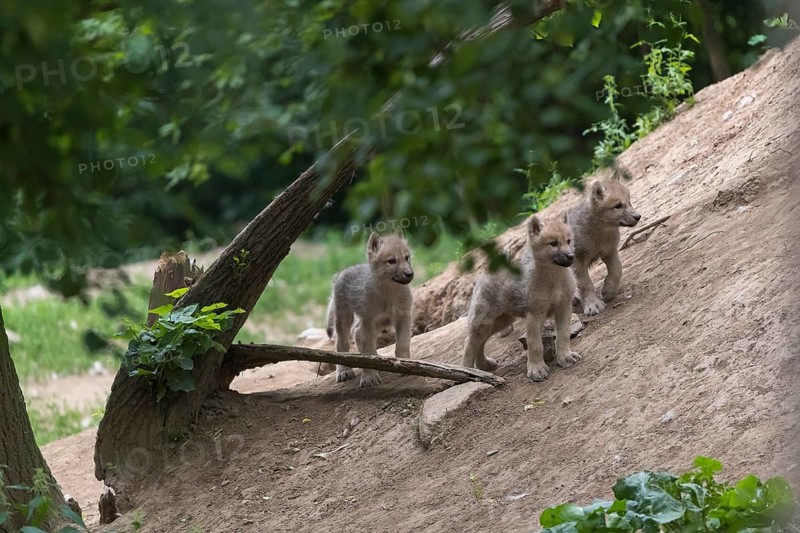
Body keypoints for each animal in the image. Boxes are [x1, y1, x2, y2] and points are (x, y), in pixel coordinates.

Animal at [326, 231, 414, 387]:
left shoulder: (403, 317)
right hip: (345, 318)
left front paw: (406, 365)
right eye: (391, 261)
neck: (389, 293)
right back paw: (343, 371)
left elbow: (402, 344)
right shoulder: (369, 321)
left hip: (379, 325)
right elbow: (369, 350)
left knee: (356, 332)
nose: (410, 274)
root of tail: (341, 273)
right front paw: (369, 377)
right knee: (341, 344)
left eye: (407, 257)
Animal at [462, 215, 579, 382]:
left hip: (500, 322)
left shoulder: (564, 307)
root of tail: (486, 273)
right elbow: (535, 345)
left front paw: (565, 357)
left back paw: (484, 366)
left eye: (568, 241)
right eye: (554, 243)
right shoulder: (534, 315)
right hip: (483, 322)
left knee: (480, 342)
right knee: (469, 342)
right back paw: (467, 370)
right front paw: (536, 370)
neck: (553, 280)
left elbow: (563, 335)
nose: (571, 256)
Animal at [566, 180, 641, 315]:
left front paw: (608, 291)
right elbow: (585, 284)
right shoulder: (578, 260)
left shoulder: (610, 251)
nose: (638, 216)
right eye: (618, 206)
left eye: (629, 202)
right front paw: (592, 305)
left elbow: (617, 270)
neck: (600, 232)